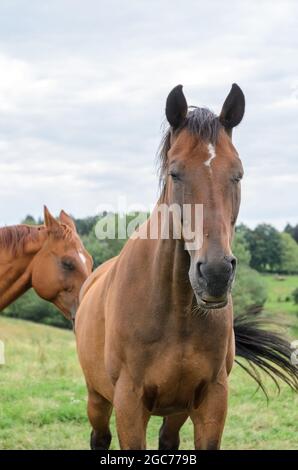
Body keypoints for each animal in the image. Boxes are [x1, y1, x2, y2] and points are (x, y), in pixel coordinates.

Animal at [75, 85, 298, 452]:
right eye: (175, 173)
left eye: (238, 173)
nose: (216, 274)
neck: (175, 309)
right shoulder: (128, 405)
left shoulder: (211, 400)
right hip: (98, 398)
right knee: (99, 437)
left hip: (177, 409)